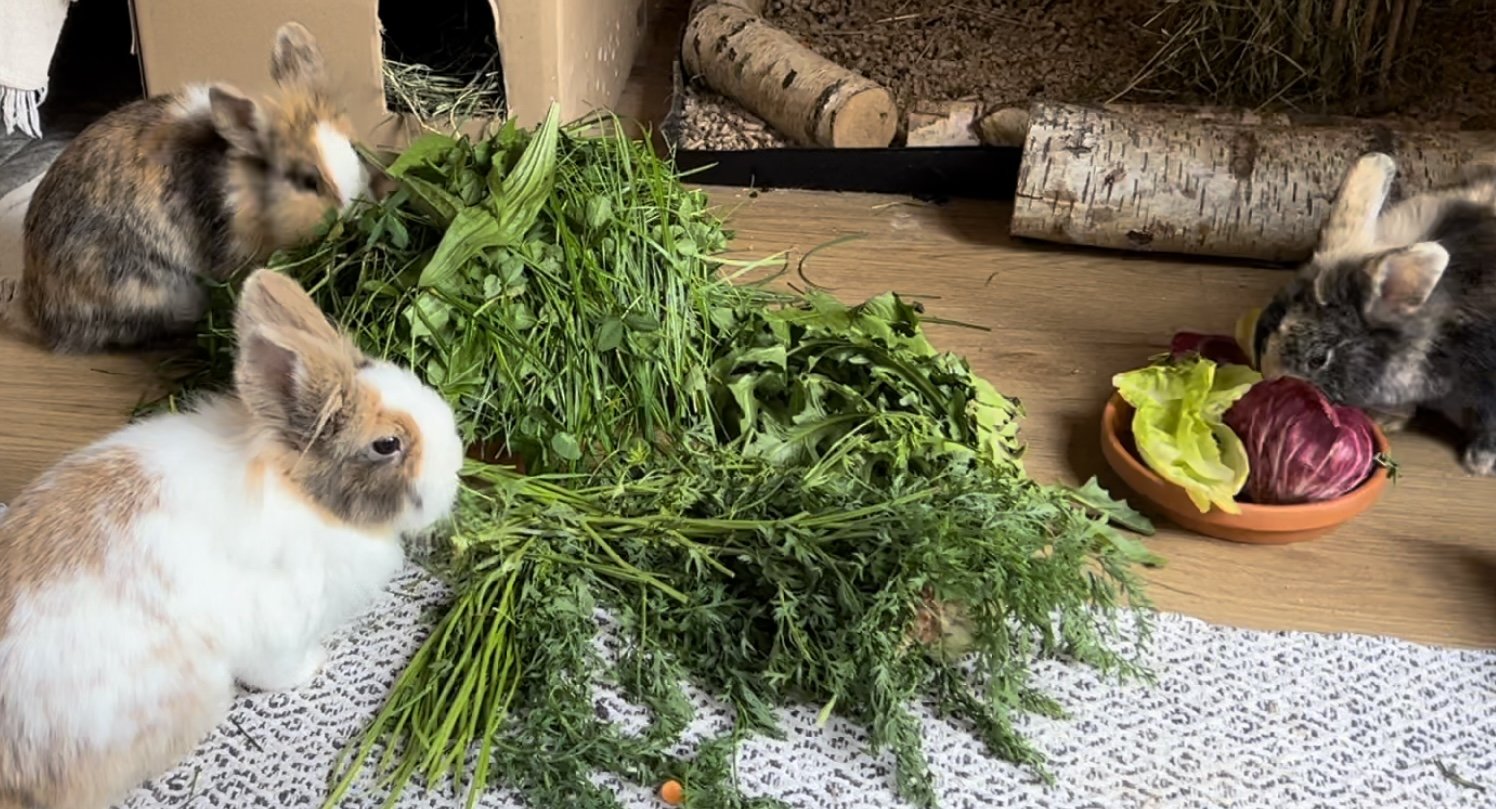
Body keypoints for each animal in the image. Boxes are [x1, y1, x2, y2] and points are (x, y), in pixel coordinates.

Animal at [0, 268, 464, 809]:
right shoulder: (279, 623)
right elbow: (278, 668)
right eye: (388, 444)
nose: (456, 472)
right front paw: (314, 666)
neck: (300, 494)